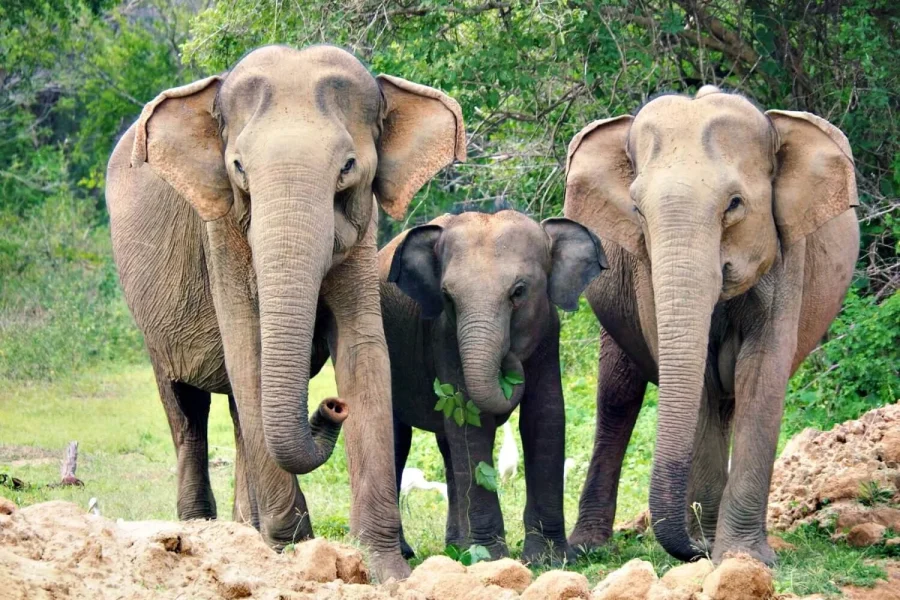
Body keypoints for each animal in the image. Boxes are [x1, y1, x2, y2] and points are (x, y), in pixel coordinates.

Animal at [105, 44, 466, 580]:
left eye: (348, 166)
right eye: (238, 167)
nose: (332, 406)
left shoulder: (363, 230)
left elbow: (363, 348)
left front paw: (387, 570)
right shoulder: (221, 232)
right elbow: (246, 346)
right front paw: (294, 551)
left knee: (237, 412)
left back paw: (245, 530)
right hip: (153, 322)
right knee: (186, 409)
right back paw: (200, 531)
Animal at [378, 210, 608, 564]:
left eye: (519, 292)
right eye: (447, 297)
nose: (510, 358)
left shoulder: (548, 331)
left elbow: (545, 416)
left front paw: (549, 559)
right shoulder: (444, 336)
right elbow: (470, 421)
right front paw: (490, 558)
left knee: (448, 449)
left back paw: (457, 547)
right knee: (398, 437)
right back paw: (414, 552)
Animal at [563, 85, 859, 565]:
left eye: (735, 204)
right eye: (636, 209)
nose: (696, 548)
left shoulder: (787, 254)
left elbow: (761, 371)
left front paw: (742, 557)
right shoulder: (645, 271)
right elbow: (698, 380)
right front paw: (714, 549)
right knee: (618, 397)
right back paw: (590, 547)